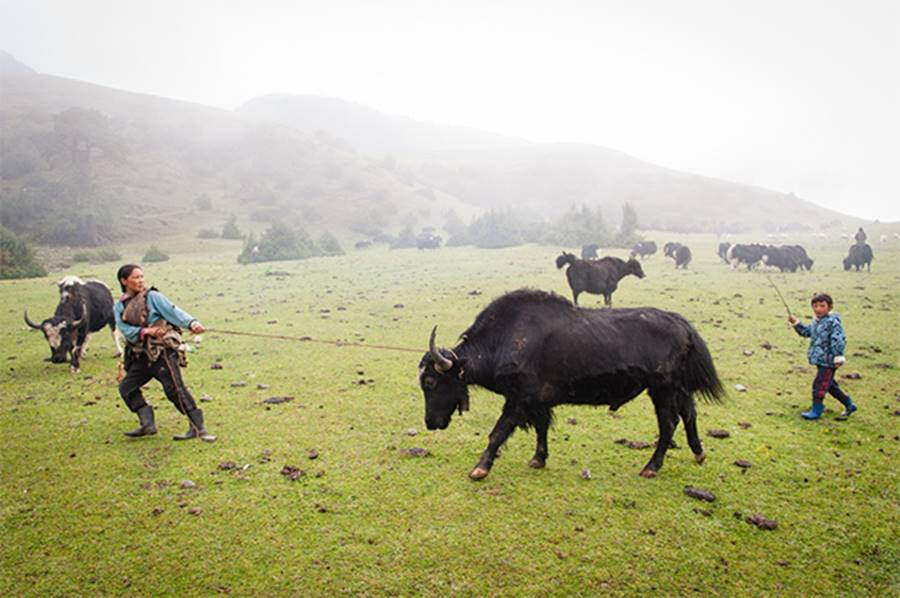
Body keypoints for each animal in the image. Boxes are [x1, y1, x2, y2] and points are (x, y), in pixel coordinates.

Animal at [419, 289, 725, 480]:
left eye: (431, 381)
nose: (431, 423)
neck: (506, 338)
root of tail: (682, 325)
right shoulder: (538, 401)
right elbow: (542, 427)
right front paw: (538, 459)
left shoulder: (519, 399)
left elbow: (497, 433)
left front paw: (480, 469)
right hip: (677, 388)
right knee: (689, 414)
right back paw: (698, 453)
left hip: (662, 389)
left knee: (669, 423)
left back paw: (651, 467)